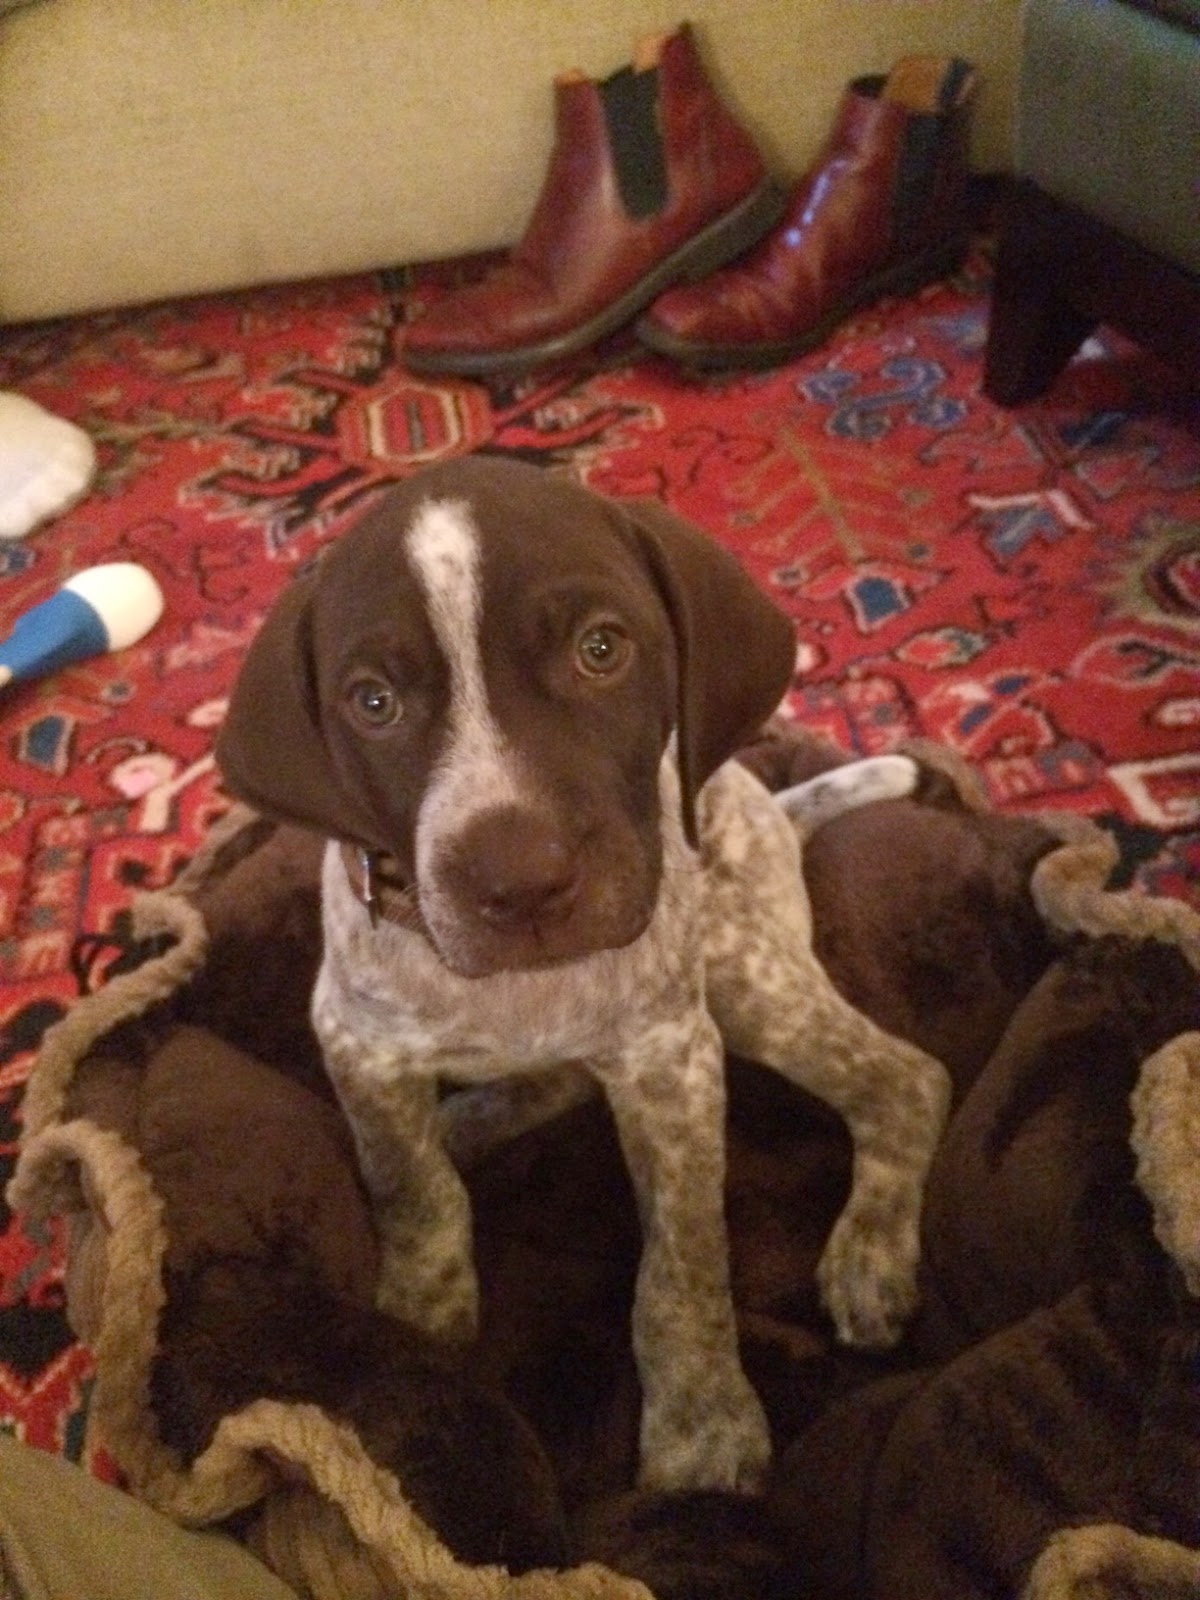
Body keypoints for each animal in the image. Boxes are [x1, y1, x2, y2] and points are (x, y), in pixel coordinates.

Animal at [217, 457, 950, 1492]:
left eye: (601, 649)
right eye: (373, 702)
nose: (521, 883)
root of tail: (778, 808)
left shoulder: (670, 1061)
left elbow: (681, 1266)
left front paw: (702, 1424)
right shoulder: (360, 1043)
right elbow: (412, 1186)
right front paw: (423, 1318)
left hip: (744, 982)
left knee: (906, 1079)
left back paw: (871, 1251)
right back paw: (469, 1120)